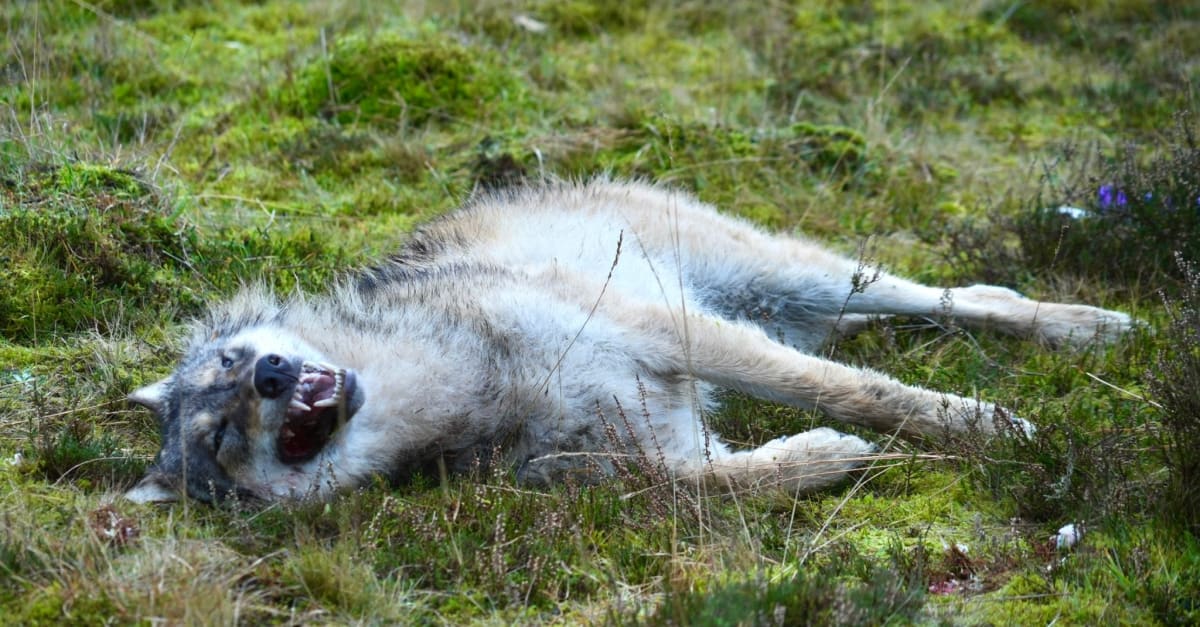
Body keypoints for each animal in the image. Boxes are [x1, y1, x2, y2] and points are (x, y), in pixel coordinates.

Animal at [125, 180, 1133, 503]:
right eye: (220, 434)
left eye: (229, 363)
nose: (270, 372)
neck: (465, 382)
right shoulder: (653, 455)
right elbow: (721, 482)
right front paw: (823, 459)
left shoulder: (674, 333)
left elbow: (855, 390)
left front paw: (986, 428)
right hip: (788, 304)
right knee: (870, 328)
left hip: (786, 279)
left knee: (961, 296)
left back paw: (1086, 327)